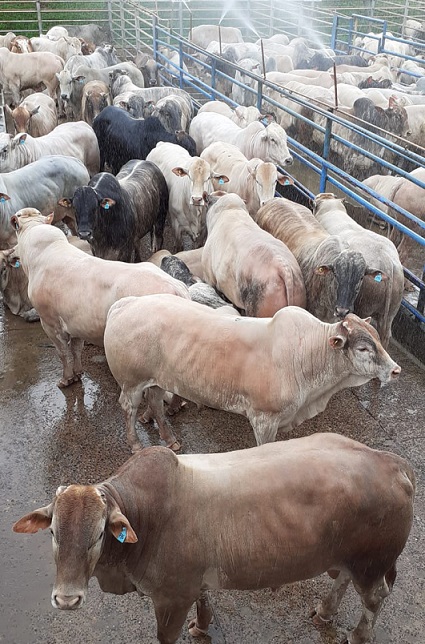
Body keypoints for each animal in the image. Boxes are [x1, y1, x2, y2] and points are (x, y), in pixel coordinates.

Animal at [12, 432, 414, 644]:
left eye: (98, 535)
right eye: (53, 532)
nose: (66, 599)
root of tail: (390, 462)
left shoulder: (171, 597)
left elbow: (166, 635)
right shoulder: (196, 581)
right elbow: (205, 602)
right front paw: (203, 625)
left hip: (373, 562)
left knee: (375, 597)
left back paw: (359, 635)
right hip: (353, 557)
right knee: (343, 577)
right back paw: (326, 611)